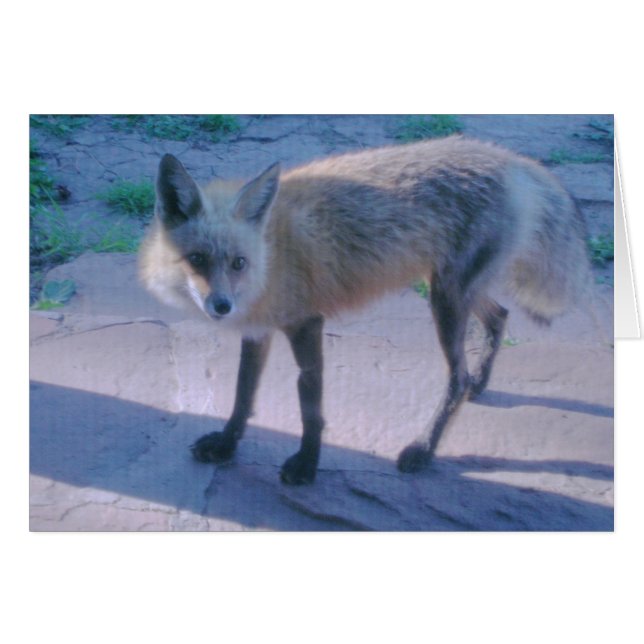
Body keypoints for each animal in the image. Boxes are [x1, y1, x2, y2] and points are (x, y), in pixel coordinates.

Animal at [139, 136, 590, 485]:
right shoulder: (258, 329)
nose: (222, 305)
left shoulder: (306, 324)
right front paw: (227, 444)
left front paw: (307, 465)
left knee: (457, 377)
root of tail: (512, 160)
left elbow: (311, 407)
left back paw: (424, 448)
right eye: (197, 259)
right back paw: (480, 382)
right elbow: (242, 396)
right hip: (454, 289)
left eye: (237, 263)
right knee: (499, 317)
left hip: (445, 299)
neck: (273, 252)